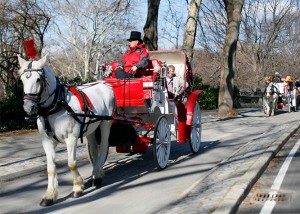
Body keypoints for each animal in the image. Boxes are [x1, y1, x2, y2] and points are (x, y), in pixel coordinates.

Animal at [17, 55, 116, 206]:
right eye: (22, 80)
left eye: (38, 79)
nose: (28, 107)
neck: (56, 106)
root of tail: (103, 84)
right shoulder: (47, 141)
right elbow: (50, 168)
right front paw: (49, 195)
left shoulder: (71, 138)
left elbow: (72, 164)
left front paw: (77, 188)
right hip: (92, 128)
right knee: (94, 150)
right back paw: (95, 172)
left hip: (105, 123)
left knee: (104, 146)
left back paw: (97, 174)